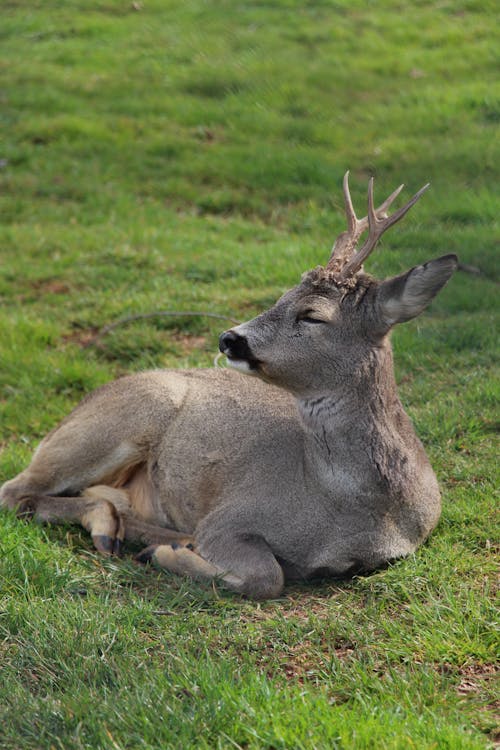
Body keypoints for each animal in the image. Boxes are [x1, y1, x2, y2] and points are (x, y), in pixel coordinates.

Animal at [0, 175, 458, 600]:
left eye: (312, 315)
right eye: (281, 296)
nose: (230, 338)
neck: (353, 509)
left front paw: (166, 548)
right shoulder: (227, 517)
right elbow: (267, 577)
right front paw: (168, 554)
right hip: (117, 420)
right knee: (15, 490)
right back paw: (120, 531)